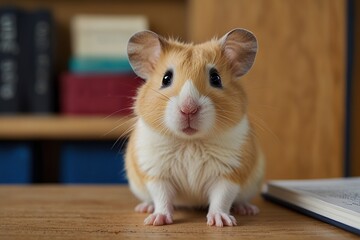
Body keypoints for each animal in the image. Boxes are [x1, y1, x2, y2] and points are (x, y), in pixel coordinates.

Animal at [126, 28, 264, 227]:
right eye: (166, 78)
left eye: (216, 78)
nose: (188, 109)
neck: (190, 142)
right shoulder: (156, 172)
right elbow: (162, 197)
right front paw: (157, 221)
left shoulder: (229, 173)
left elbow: (222, 198)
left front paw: (221, 222)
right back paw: (145, 208)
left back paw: (247, 209)